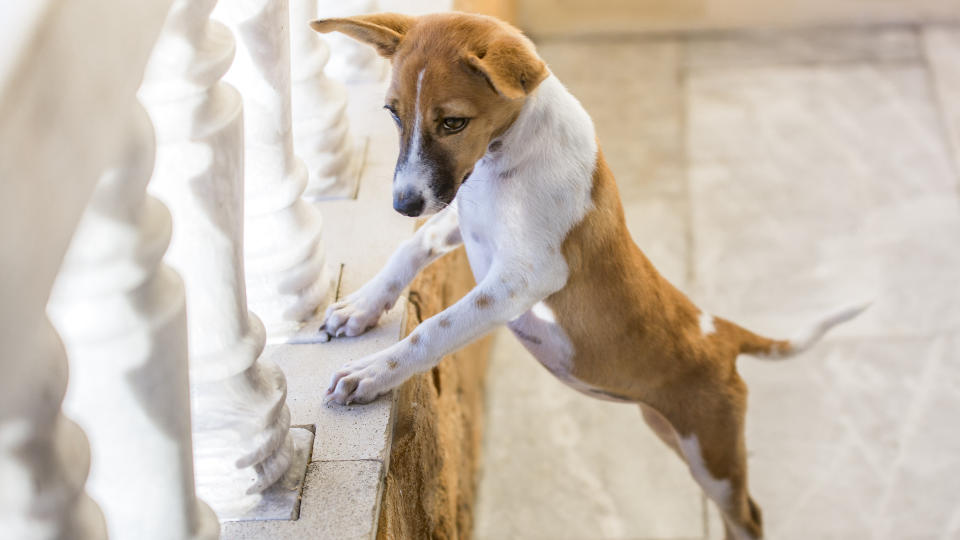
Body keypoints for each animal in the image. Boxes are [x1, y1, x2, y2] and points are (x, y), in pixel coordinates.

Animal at [312, 13, 868, 540]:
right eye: (392, 112)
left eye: (452, 122)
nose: (403, 204)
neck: (506, 158)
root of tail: (722, 332)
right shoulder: (461, 223)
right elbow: (410, 248)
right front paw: (359, 308)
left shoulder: (523, 279)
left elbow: (434, 328)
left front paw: (373, 371)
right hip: (672, 432)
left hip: (713, 454)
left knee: (748, 515)